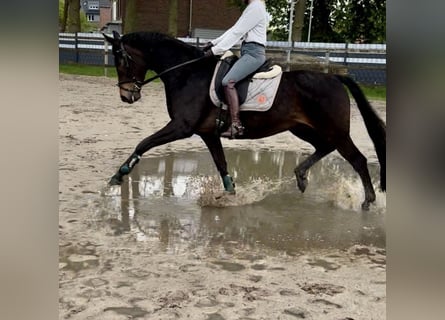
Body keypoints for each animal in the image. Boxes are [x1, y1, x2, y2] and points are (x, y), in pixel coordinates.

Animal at [102, 30, 384, 210]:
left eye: (121, 60)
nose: (127, 96)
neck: (187, 73)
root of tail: (334, 77)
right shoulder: (208, 133)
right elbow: (222, 164)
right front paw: (229, 195)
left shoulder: (181, 127)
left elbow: (144, 143)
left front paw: (117, 176)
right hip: (302, 128)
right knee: (324, 147)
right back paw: (301, 176)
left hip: (334, 130)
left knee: (357, 159)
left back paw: (367, 201)